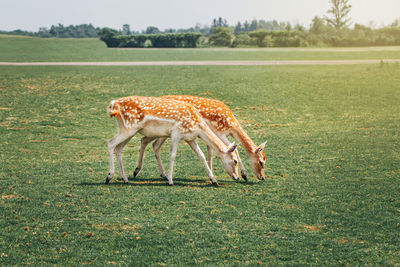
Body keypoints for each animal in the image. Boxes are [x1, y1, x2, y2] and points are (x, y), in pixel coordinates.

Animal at [104, 96, 239, 186]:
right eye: (235, 161)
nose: (237, 177)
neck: (198, 127)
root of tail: (113, 105)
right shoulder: (175, 134)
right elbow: (173, 155)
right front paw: (170, 180)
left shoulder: (190, 138)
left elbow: (201, 155)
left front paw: (214, 180)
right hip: (129, 128)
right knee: (110, 143)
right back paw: (109, 176)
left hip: (128, 129)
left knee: (118, 148)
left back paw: (124, 178)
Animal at [133, 95, 268, 181]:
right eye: (261, 162)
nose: (262, 177)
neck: (232, 126)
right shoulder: (219, 132)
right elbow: (235, 150)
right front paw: (244, 175)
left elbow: (210, 152)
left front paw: (211, 174)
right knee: (150, 142)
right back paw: (140, 171)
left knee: (148, 142)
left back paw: (160, 174)